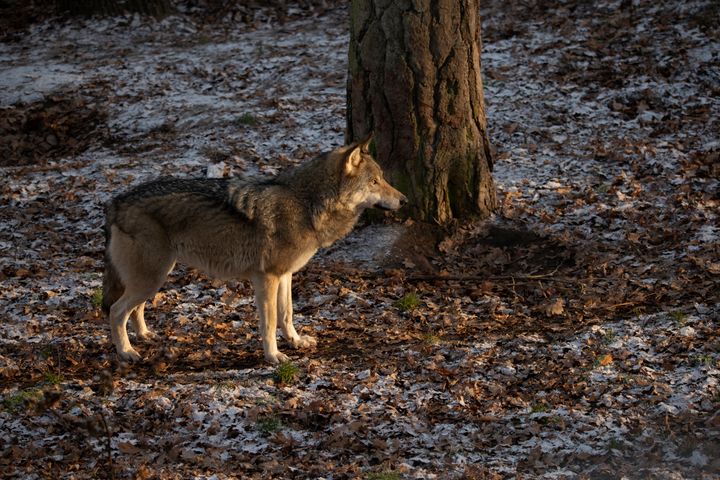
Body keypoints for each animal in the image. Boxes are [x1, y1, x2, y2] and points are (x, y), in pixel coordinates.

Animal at [102, 138, 408, 364]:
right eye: (374, 182)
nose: (405, 200)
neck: (305, 203)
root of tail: (116, 201)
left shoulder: (285, 275)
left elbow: (287, 314)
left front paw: (296, 341)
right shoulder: (267, 278)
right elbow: (270, 322)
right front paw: (273, 357)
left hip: (156, 276)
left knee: (136, 308)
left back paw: (144, 336)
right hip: (152, 277)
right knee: (116, 311)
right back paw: (126, 352)